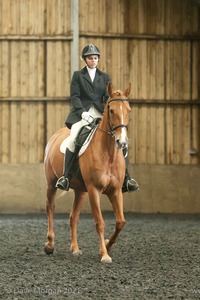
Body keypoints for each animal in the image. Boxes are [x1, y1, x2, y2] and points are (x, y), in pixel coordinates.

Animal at [43, 82, 131, 262]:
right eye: (111, 110)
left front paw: (108, 245)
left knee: (73, 217)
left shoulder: (116, 191)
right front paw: (104, 254)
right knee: (50, 207)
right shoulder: (94, 190)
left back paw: (75, 249)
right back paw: (49, 245)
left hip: (80, 191)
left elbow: (120, 222)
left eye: (129, 110)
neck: (108, 153)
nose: (122, 142)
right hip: (51, 183)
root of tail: (56, 135)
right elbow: (100, 222)